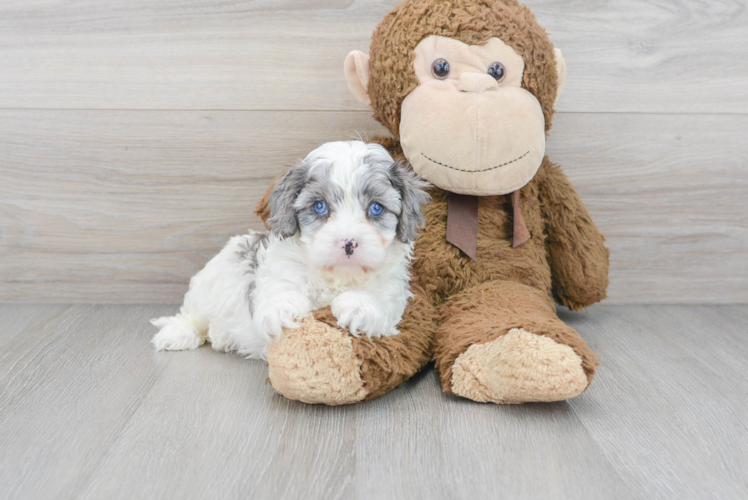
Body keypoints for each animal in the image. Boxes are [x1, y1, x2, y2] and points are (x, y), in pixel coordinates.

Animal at [150, 141, 430, 360]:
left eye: (376, 208)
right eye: (319, 206)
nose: (348, 243)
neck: (336, 276)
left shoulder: (393, 289)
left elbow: (381, 301)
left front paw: (360, 307)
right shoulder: (279, 268)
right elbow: (280, 286)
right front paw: (282, 308)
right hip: (212, 282)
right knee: (193, 315)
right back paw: (179, 333)